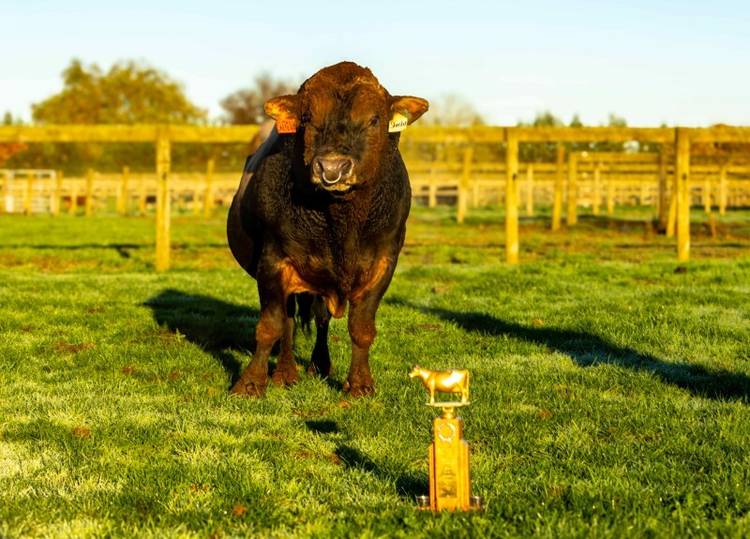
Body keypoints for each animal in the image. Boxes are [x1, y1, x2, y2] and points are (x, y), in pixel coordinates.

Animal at [227, 62, 428, 397]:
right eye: (308, 118)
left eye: (374, 120)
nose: (332, 168)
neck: (341, 225)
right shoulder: (273, 261)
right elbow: (270, 326)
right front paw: (250, 383)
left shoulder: (383, 262)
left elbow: (361, 328)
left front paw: (360, 385)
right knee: (289, 321)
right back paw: (286, 372)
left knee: (320, 320)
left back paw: (319, 364)